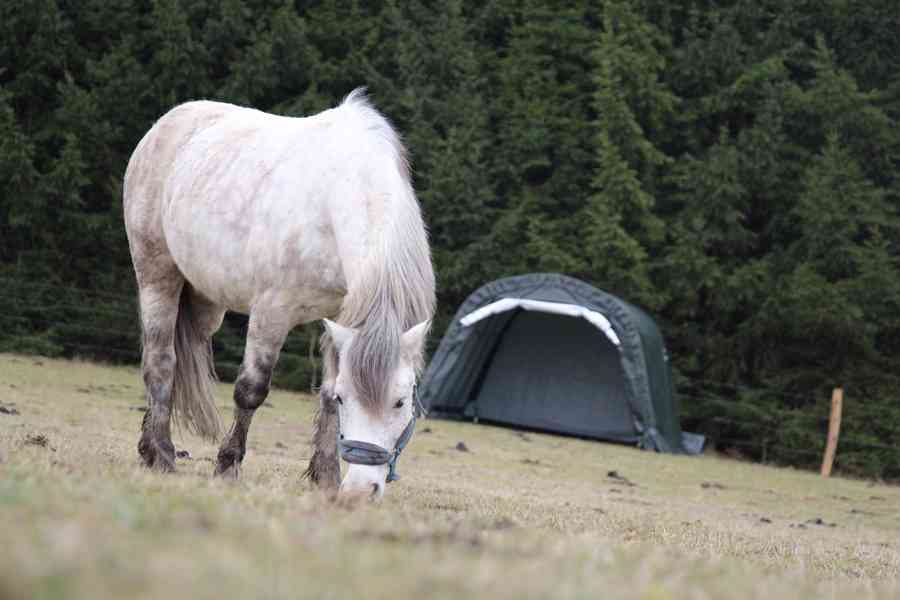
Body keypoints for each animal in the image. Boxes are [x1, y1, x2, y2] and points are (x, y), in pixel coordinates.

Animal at [124, 89, 436, 500]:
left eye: (401, 402)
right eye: (349, 399)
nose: (359, 491)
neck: (335, 200)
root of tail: (167, 123)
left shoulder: (340, 319)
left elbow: (324, 394)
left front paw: (326, 477)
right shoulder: (272, 311)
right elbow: (251, 390)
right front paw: (227, 466)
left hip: (207, 302)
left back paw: (148, 447)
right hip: (157, 275)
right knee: (160, 362)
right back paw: (160, 452)